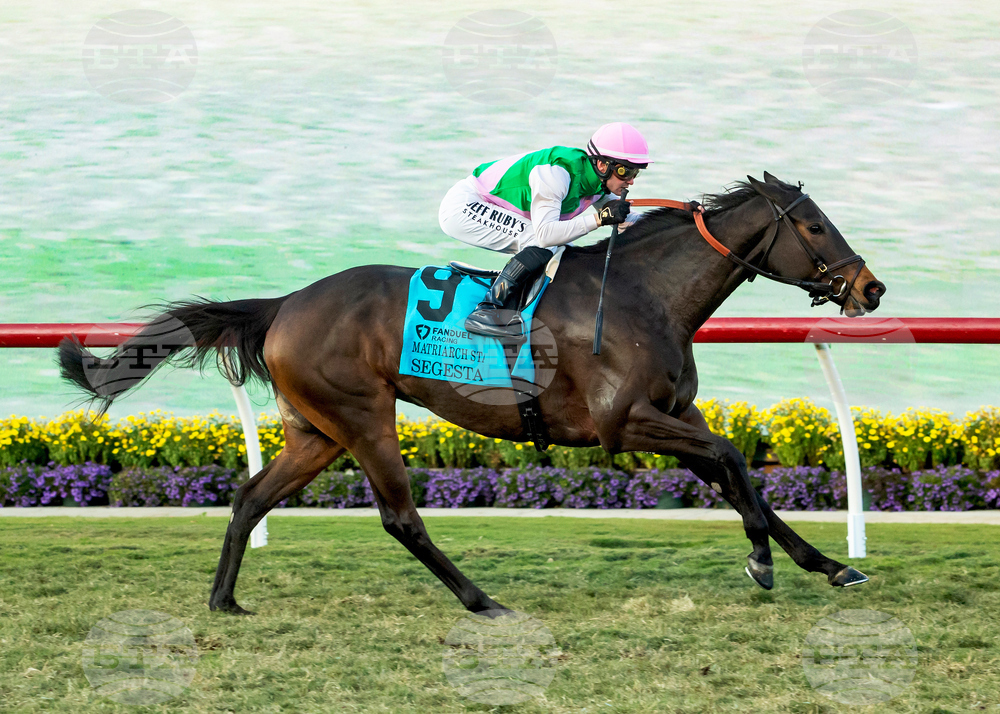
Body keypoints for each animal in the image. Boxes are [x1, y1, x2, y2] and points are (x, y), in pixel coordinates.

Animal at [59, 173, 886, 615]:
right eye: (815, 226)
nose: (871, 289)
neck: (643, 294)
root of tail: (285, 302)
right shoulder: (626, 422)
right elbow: (734, 463)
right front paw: (767, 563)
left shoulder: (669, 413)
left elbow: (736, 473)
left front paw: (820, 563)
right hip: (364, 416)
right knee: (400, 518)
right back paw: (482, 600)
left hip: (317, 431)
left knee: (251, 498)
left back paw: (224, 600)